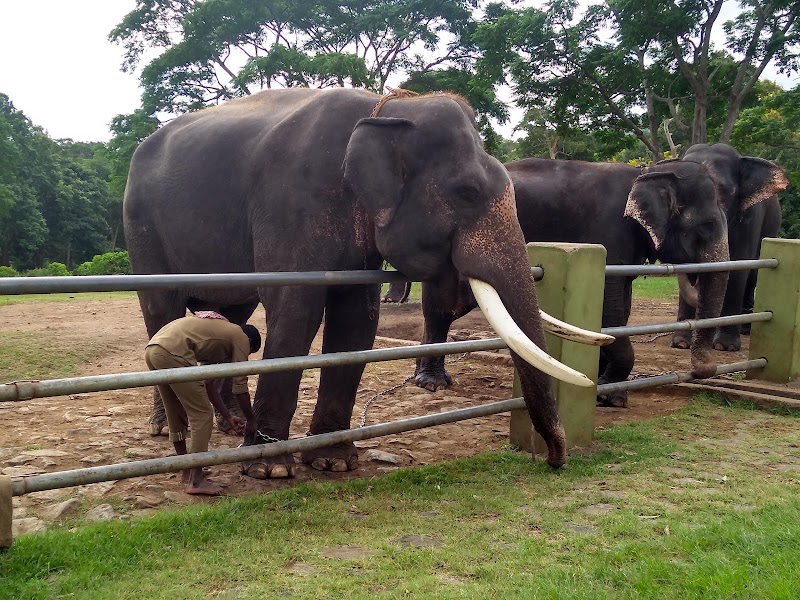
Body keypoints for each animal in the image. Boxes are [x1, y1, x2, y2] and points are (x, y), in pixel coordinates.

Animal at [124, 88, 603, 479]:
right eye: (467, 192)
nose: (555, 460)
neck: (386, 109)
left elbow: (357, 319)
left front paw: (332, 461)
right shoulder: (292, 198)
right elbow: (295, 312)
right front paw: (269, 469)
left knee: (231, 311)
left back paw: (230, 425)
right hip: (141, 223)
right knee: (162, 309)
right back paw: (167, 427)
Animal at [402, 157, 735, 408]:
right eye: (706, 226)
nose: (704, 370)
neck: (645, 172)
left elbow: (620, 308)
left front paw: (607, 390)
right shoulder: (608, 232)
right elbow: (611, 307)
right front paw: (606, 395)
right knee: (442, 309)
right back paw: (432, 384)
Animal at [670, 143, 788, 352]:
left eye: (724, 190)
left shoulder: (749, 218)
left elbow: (737, 268)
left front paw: (725, 346)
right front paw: (681, 343)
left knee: (754, 275)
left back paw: (746, 330)